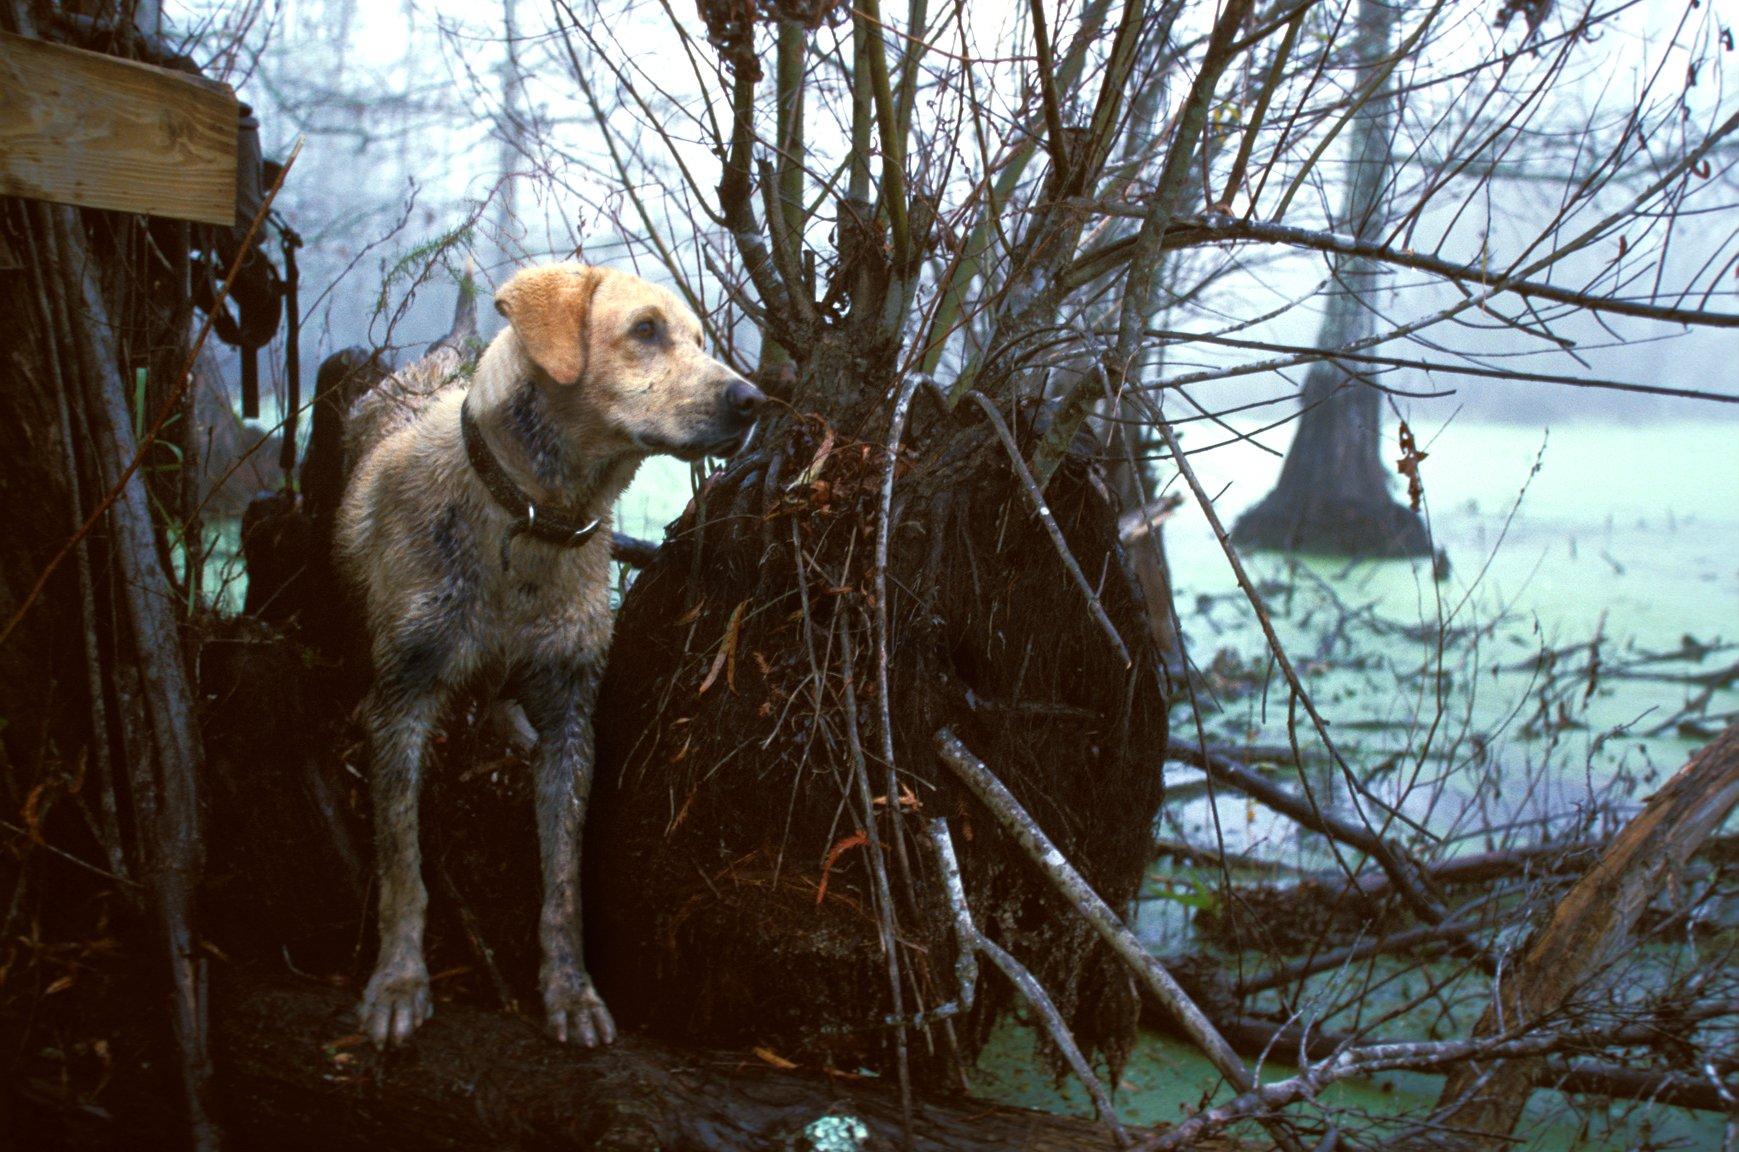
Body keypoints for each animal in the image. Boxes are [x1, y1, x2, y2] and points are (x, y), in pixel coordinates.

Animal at [342, 266, 765, 1051]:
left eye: (699, 339)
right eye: (645, 330)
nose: (753, 401)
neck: (531, 522)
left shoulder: (572, 717)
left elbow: (564, 881)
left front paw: (571, 992)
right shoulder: (404, 706)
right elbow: (402, 864)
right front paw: (399, 981)